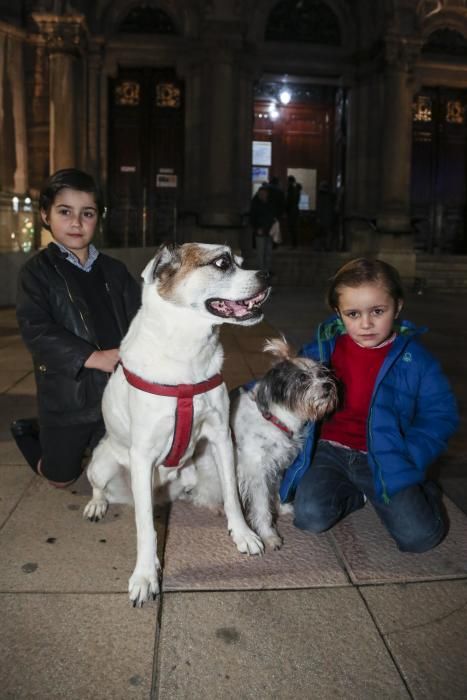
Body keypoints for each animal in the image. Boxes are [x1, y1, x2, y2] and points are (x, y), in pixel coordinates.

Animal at [84, 243, 270, 604]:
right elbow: (145, 527)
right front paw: (145, 576)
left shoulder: (221, 436)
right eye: (222, 262)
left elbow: (232, 494)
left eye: (241, 261)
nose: (268, 275)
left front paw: (243, 534)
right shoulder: (142, 455)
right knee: (101, 488)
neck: (186, 354)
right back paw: (97, 505)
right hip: (102, 464)